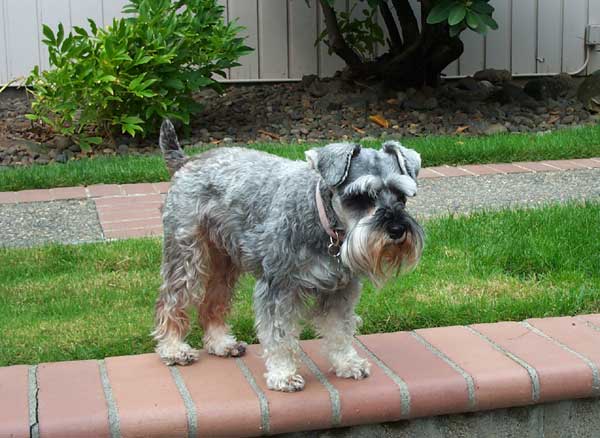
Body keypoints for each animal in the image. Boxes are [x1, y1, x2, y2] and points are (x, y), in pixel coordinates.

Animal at [152, 120, 424, 394]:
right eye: (360, 196)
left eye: (401, 196)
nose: (397, 230)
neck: (323, 223)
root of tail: (188, 160)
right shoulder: (278, 287)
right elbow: (279, 334)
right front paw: (283, 374)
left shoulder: (341, 289)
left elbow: (339, 328)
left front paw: (347, 362)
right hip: (186, 254)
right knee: (172, 300)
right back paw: (173, 348)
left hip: (224, 261)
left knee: (213, 302)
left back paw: (220, 343)